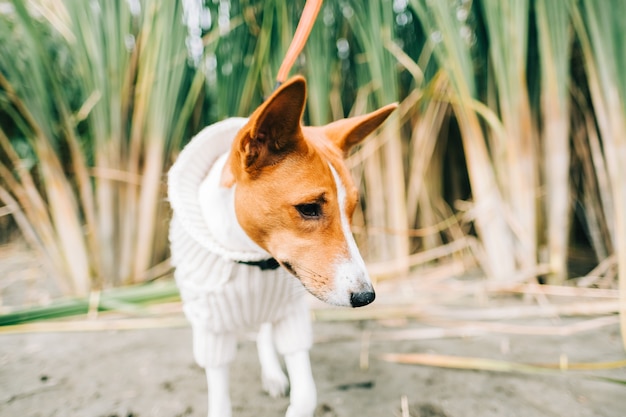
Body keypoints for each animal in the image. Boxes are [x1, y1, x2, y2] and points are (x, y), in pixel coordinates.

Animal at [167, 75, 394, 416]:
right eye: (309, 208)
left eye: (352, 208)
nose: (366, 297)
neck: (250, 258)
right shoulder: (212, 326)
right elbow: (219, 394)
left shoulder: (291, 317)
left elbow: (306, 394)